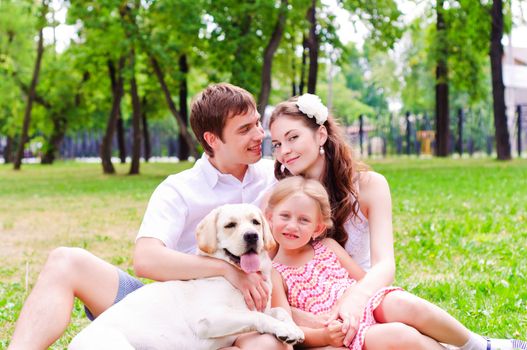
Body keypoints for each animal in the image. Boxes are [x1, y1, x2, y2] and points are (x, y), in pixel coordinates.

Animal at [69, 204, 306, 348]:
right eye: (230, 225)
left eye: (255, 222)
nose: (252, 236)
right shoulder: (209, 319)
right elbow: (256, 317)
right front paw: (282, 328)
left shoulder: (262, 307)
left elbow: (279, 312)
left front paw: (291, 328)